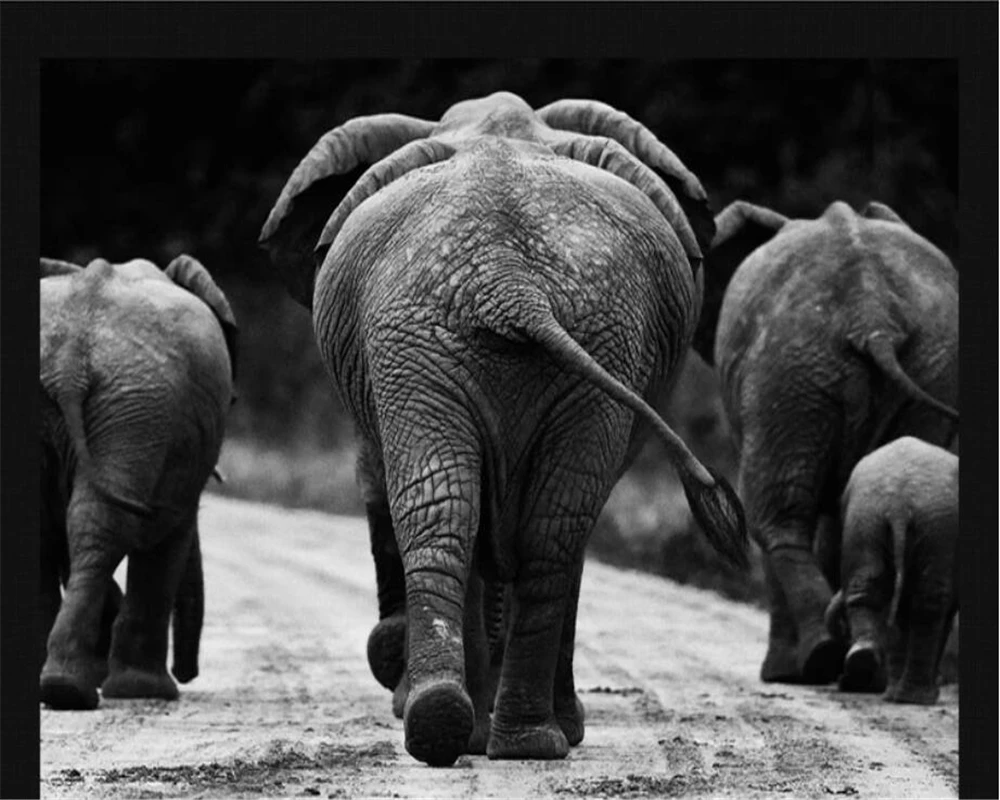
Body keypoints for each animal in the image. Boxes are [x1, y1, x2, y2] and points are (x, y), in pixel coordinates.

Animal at [39, 254, 238, 710]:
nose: (189, 672)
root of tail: (69, 356)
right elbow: (171, 534)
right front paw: (144, 692)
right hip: (139, 400)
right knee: (110, 526)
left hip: (133, 403)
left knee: (85, 526)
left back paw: (63, 689)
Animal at [260, 91, 747, 766]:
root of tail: (509, 281)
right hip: (456, 339)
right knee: (529, 525)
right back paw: (496, 735)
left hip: (502, 338)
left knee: (474, 515)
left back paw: (482, 734)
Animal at [822, 437, 958, 704]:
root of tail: (899, 504)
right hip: (937, 524)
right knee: (928, 602)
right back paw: (914, 697)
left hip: (865, 517)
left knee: (869, 590)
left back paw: (873, 669)